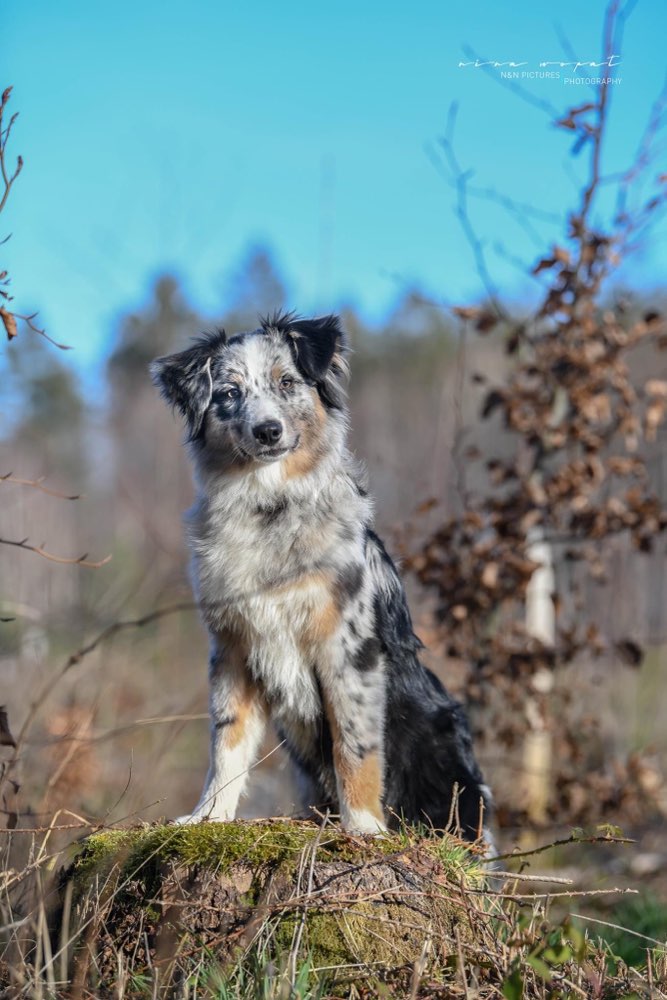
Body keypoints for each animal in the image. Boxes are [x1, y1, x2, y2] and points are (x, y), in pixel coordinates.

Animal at [151, 310, 490, 836]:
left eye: (287, 383)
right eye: (228, 393)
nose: (267, 431)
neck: (269, 506)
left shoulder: (347, 649)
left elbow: (355, 747)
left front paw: (364, 828)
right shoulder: (234, 648)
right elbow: (226, 743)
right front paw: (209, 816)